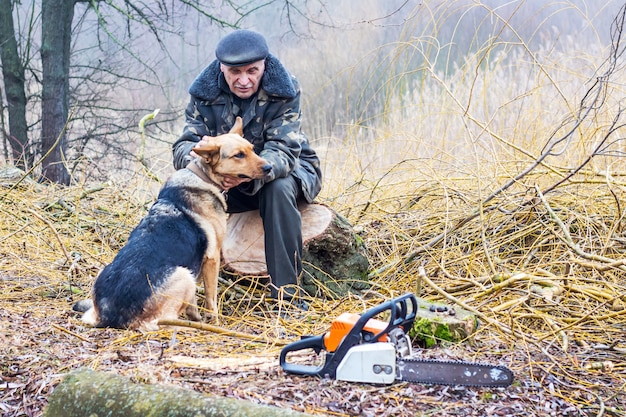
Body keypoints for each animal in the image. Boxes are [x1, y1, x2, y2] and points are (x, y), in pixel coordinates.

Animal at [73, 116, 270, 328]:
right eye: (238, 155)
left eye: (252, 149)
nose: (269, 168)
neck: (202, 176)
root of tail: (110, 315)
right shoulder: (212, 258)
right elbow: (211, 298)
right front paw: (214, 321)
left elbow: (194, 302)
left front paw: (196, 315)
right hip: (183, 275)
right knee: (162, 321)